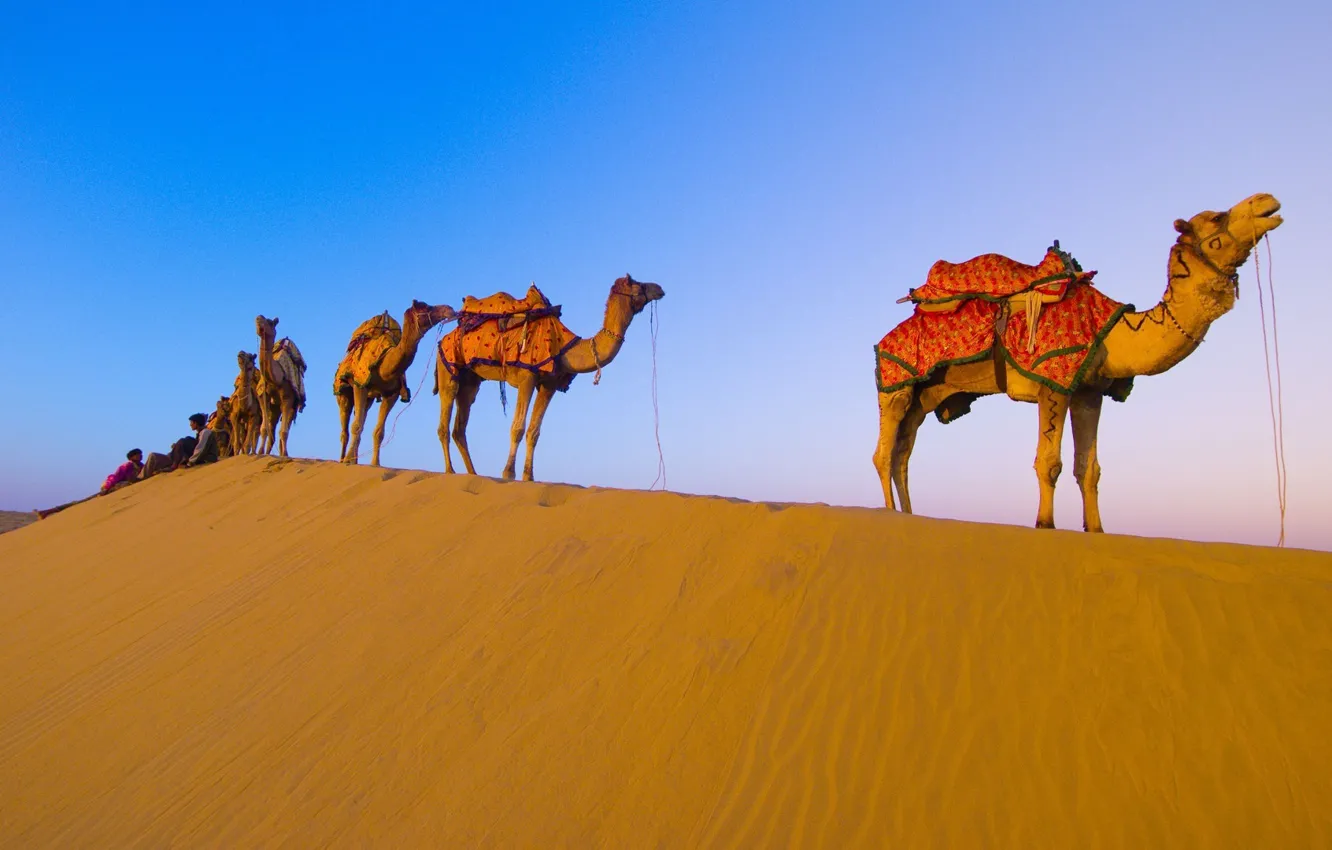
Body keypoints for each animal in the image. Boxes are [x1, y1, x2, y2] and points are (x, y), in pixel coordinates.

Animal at [254, 316, 308, 458]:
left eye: (270, 322)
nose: (258, 318)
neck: (276, 378)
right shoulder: (263, 396)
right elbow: (264, 428)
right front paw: (260, 453)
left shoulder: (288, 398)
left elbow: (283, 431)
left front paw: (284, 454)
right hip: (274, 408)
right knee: (272, 429)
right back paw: (268, 452)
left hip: (293, 406)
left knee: (285, 427)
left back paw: (284, 452)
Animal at [334, 300, 458, 466]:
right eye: (426, 306)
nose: (449, 309)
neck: (383, 365)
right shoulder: (360, 384)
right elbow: (356, 426)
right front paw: (348, 460)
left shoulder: (391, 394)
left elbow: (378, 432)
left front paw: (375, 463)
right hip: (343, 392)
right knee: (345, 430)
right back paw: (343, 459)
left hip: (369, 398)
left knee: (361, 418)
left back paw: (355, 460)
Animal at [434, 274, 665, 481]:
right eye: (637, 283)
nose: (659, 288)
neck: (565, 346)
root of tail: (444, 338)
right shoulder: (527, 378)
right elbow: (518, 428)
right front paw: (508, 473)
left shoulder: (549, 385)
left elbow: (534, 432)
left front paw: (529, 476)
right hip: (448, 367)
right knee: (445, 421)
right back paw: (450, 472)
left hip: (470, 381)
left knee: (460, 426)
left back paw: (472, 474)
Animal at [872, 192, 1283, 532]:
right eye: (1216, 217)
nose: (1268, 201)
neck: (1115, 332)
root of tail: (884, 338)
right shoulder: (1052, 382)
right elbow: (1049, 462)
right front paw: (1045, 524)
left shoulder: (1089, 391)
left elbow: (1089, 469)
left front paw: (1096, 529)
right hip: (896, 384)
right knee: (883, 453)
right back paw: (890, 512)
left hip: (928, 394)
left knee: (903, 453)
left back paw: (908, 513)